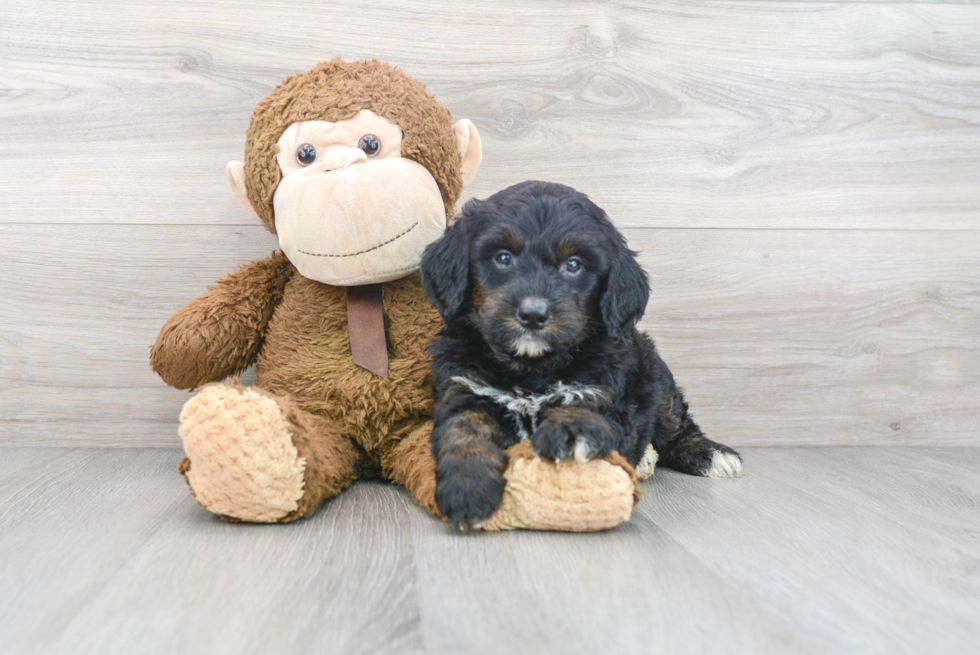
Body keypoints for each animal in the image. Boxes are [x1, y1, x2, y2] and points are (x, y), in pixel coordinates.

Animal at [418, 182, 740, 532]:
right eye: (503, 258)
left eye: (574, 265)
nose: (533, 314)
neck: (532, 368)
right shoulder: (465, 386)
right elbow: (464, 427)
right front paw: (467, 486)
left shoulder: (604, 387)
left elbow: (584, 404)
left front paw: (571, 432)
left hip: (654, 373)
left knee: (676, 425)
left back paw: (709, 454)